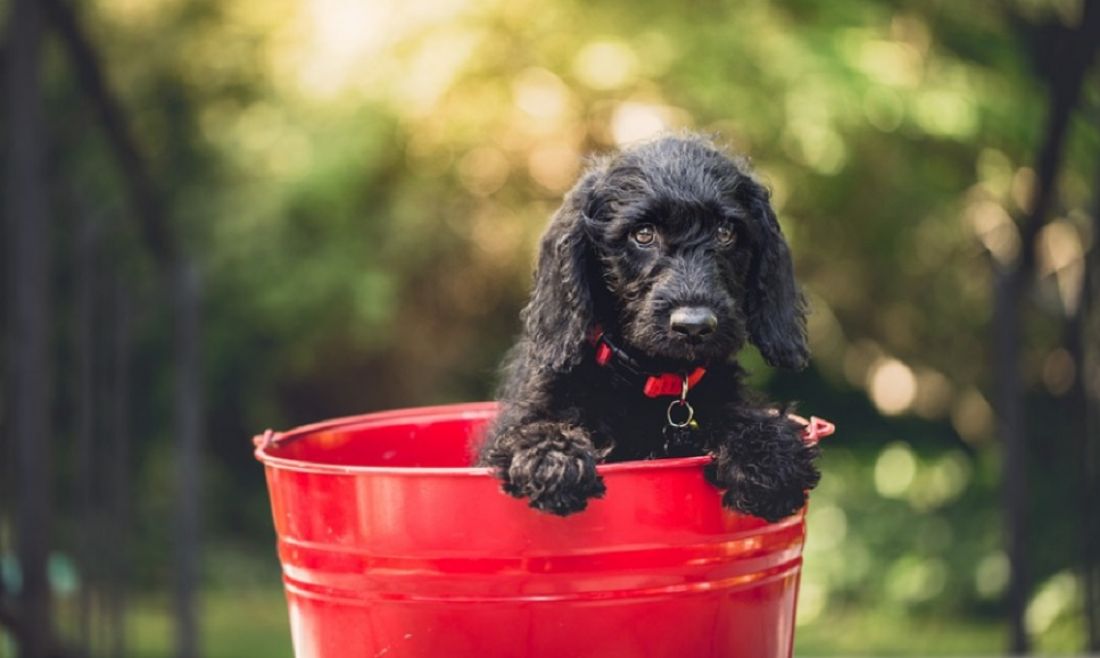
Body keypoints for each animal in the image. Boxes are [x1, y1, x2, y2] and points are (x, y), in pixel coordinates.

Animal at [479, 134, 818, 523]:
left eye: (726, 232)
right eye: (643, 234)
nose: (694, 326)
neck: (654, 379)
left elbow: (744, 416)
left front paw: (768, 456)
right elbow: (534, 428)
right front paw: (552, 459)